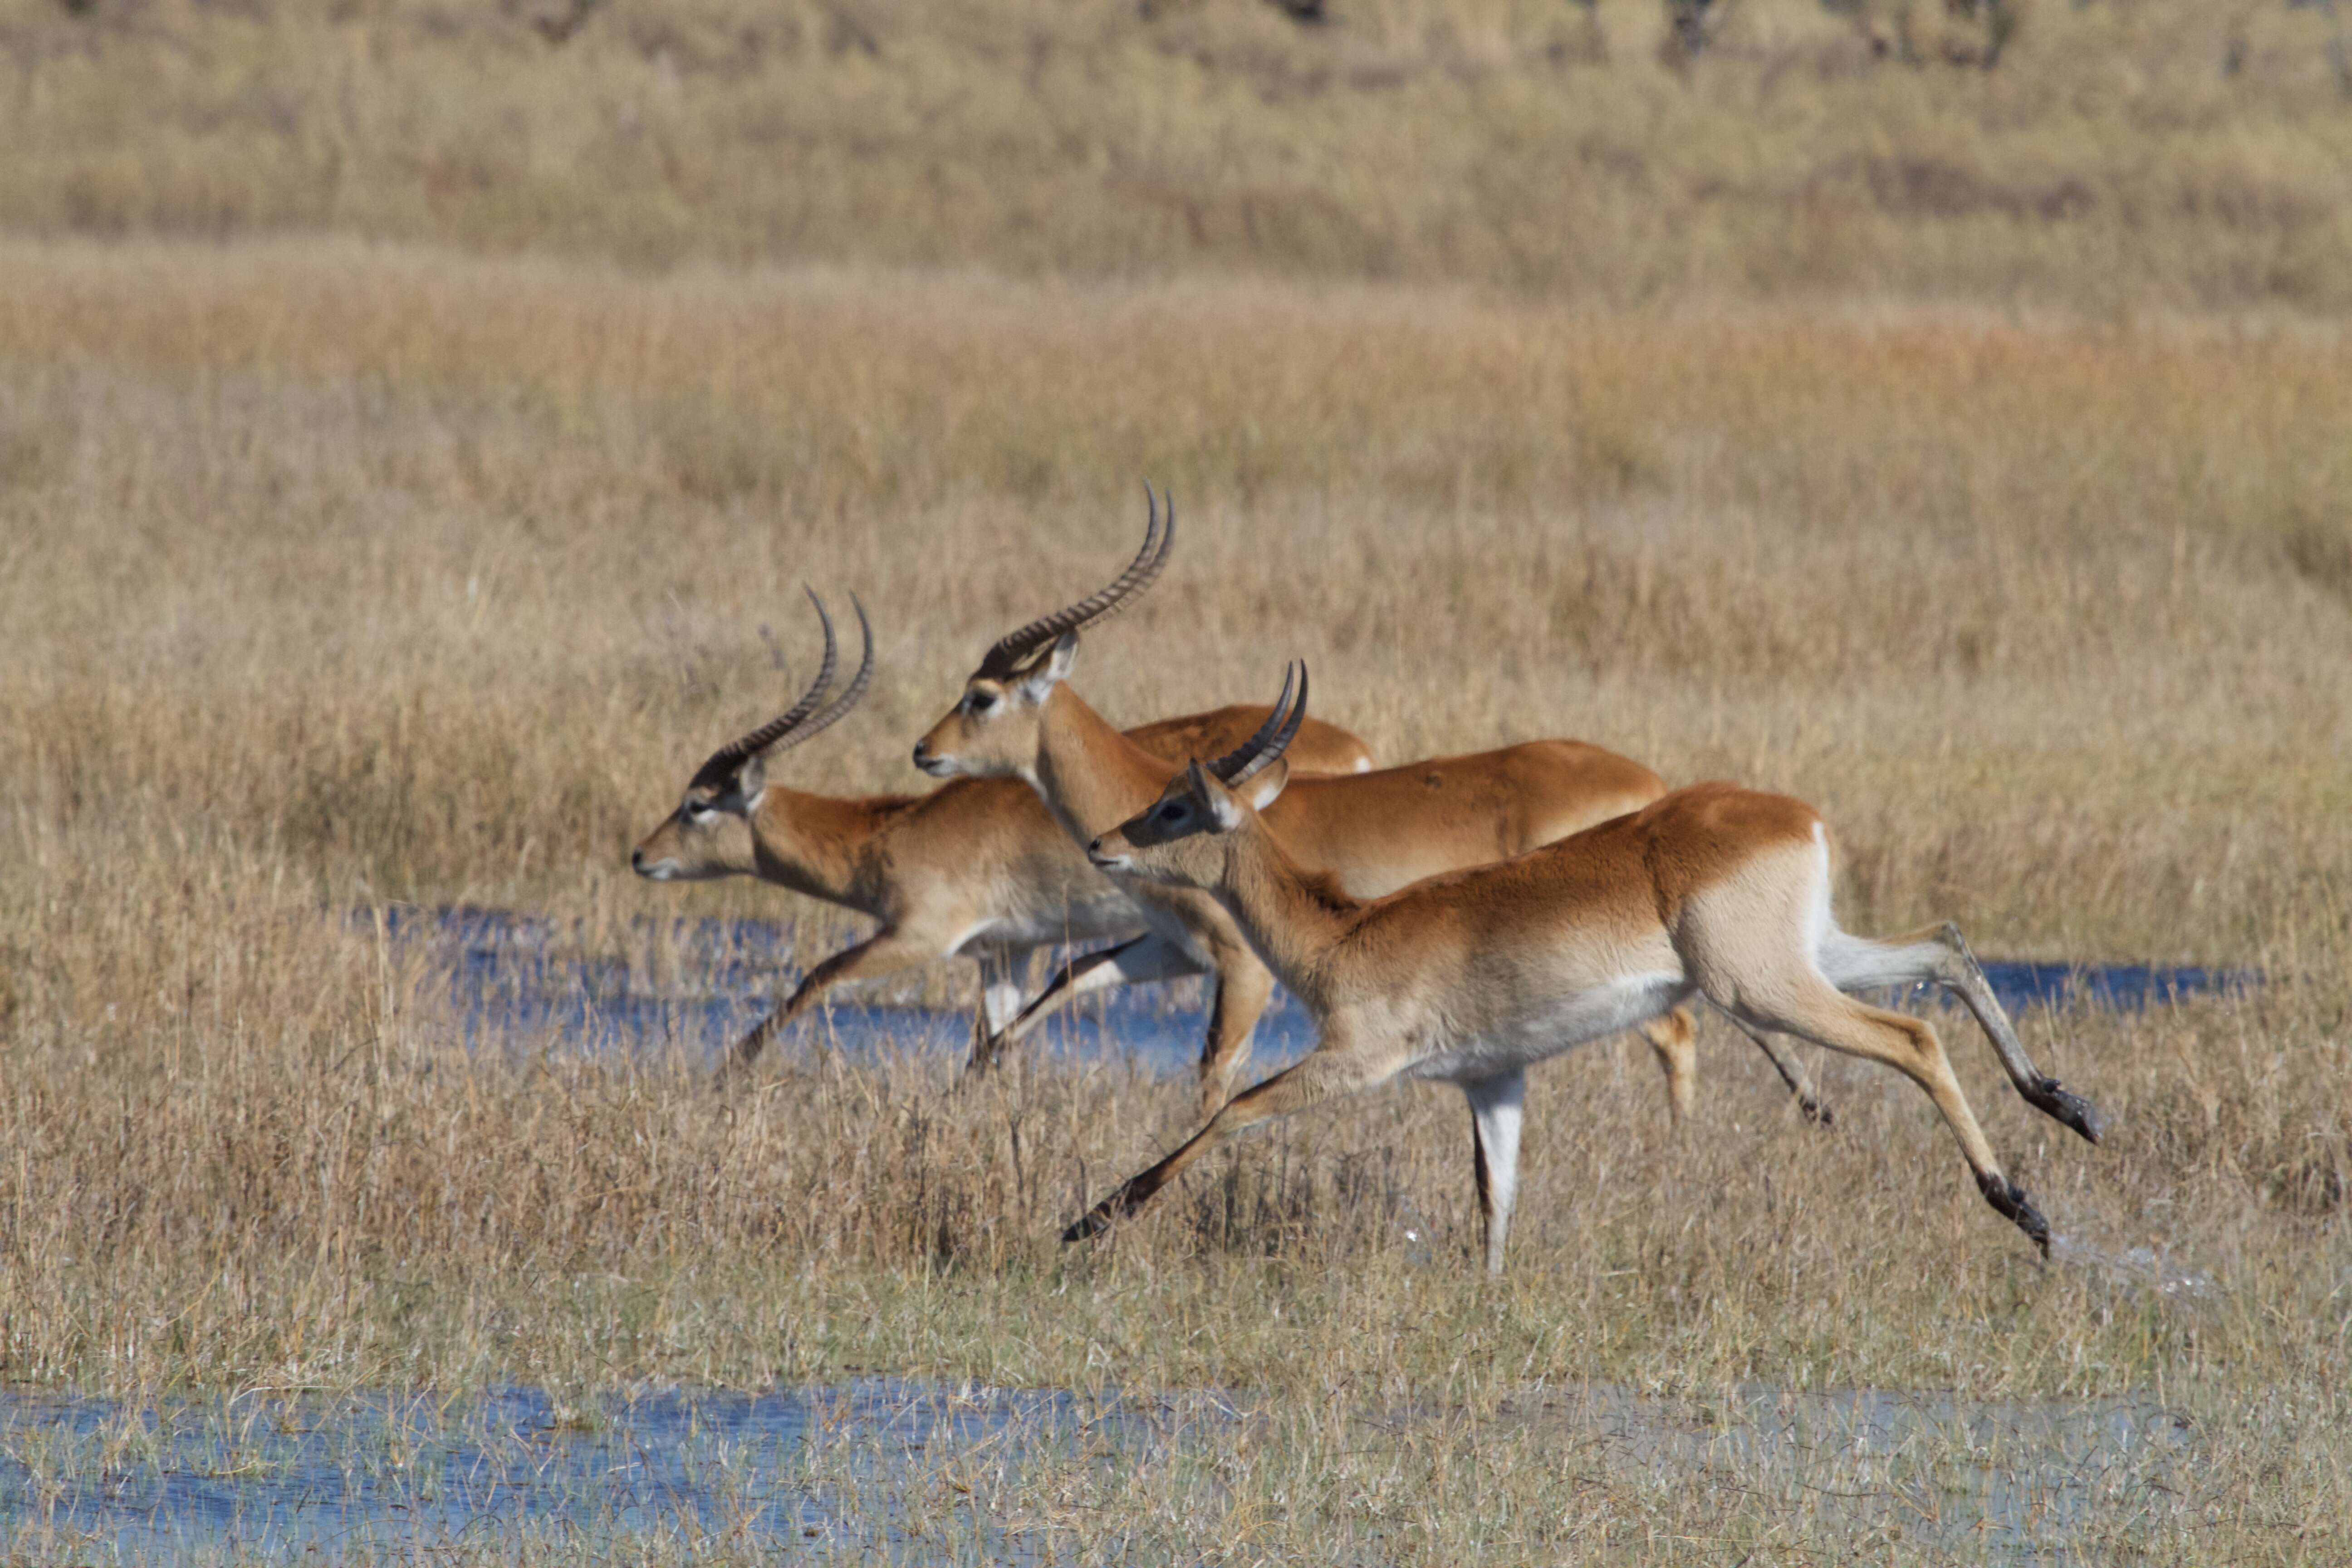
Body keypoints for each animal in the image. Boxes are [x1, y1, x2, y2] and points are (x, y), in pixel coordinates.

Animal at [908, 496, 1825, 1123]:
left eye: (981, 695)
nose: (923, 750)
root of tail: (1649, 786)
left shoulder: (1240, 967)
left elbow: (1213, 1070)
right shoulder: (1170, 950)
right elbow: (1054, 988)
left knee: (1682, 1030)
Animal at [1077, 667, 2107, 1269]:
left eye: (1173, 807)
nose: (1099, 845)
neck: (1344, 933)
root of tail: (1798, 816)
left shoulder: (1359, 1061)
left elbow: (1235, 1110)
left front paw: (1092, 1218)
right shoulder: (1492, 1078)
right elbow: (1494, 1201)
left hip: (1759, 987)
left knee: (1915, 1034)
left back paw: (2021, 1206)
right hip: (1810, 957)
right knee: (1946, 944)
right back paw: (2067, 1107)